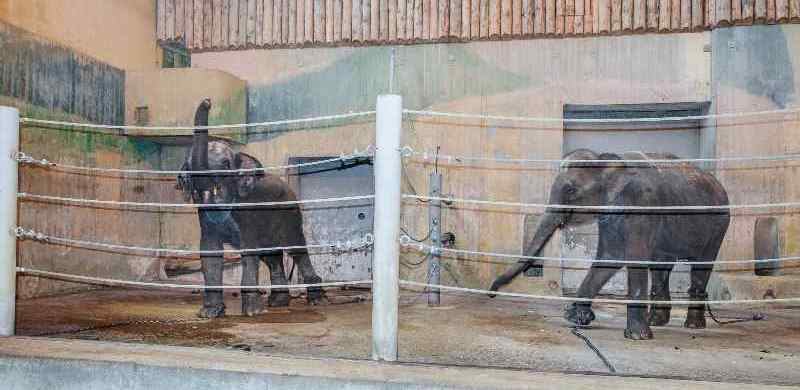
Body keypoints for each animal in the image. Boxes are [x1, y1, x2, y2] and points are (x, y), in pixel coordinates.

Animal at [177, 97, 324, 316]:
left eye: (226, 164)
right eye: (188, 166)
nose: (208, 101)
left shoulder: (249, 211)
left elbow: (248, 252)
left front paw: (252, 313)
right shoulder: (205, 217)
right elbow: (210, 253)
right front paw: (209, 314)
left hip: (291, 214)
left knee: (296, 248)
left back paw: (316, 300)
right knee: (270, 257)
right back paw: (278, 302)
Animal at [488, 149, 732, 338]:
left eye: (571, 190)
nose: (491, 292)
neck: (607, 162)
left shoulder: (643, 206)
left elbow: (634, 258)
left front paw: (637, 337)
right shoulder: (610, 214)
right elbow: (609, 257)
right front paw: (576, 317)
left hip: (719, 224)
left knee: (701, 266)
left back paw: (692, 325)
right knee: (661, 267)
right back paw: (656, 321)